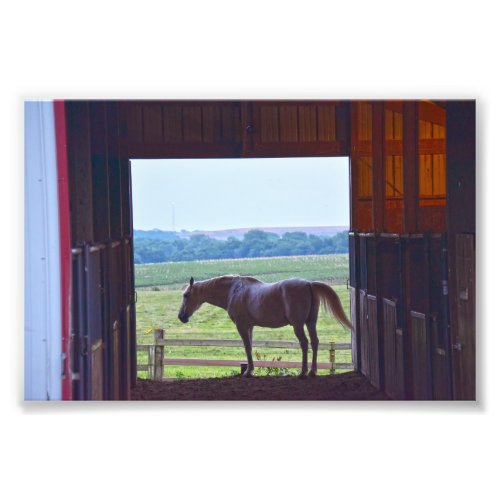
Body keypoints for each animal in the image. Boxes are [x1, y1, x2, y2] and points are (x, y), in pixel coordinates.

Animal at [178, 276, 354, 376]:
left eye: (186, 295)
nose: (181, 316)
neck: (234, 290)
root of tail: (308, 284)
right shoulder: (250, 326)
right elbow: (250, 346)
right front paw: (251, 369)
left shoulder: (242, 326)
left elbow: (247, 347)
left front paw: (248, 372)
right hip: (310, 322)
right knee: (315, 342)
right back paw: (312, 371)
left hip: (298, 325)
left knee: (304, 343)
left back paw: (303, 372)